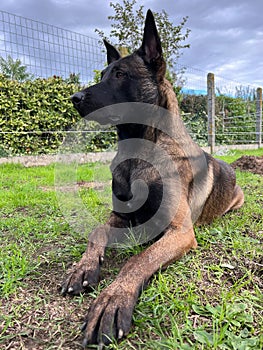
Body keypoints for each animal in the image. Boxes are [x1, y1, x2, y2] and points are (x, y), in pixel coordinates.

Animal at [60, 9, 244, 346]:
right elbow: (95, 231)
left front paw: (113, 299)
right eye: (103, 74)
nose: (74, 97)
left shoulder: (180, 232)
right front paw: (83, 268)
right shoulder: (119, 216)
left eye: (121, 75)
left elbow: (138, 260)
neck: (137, 152)